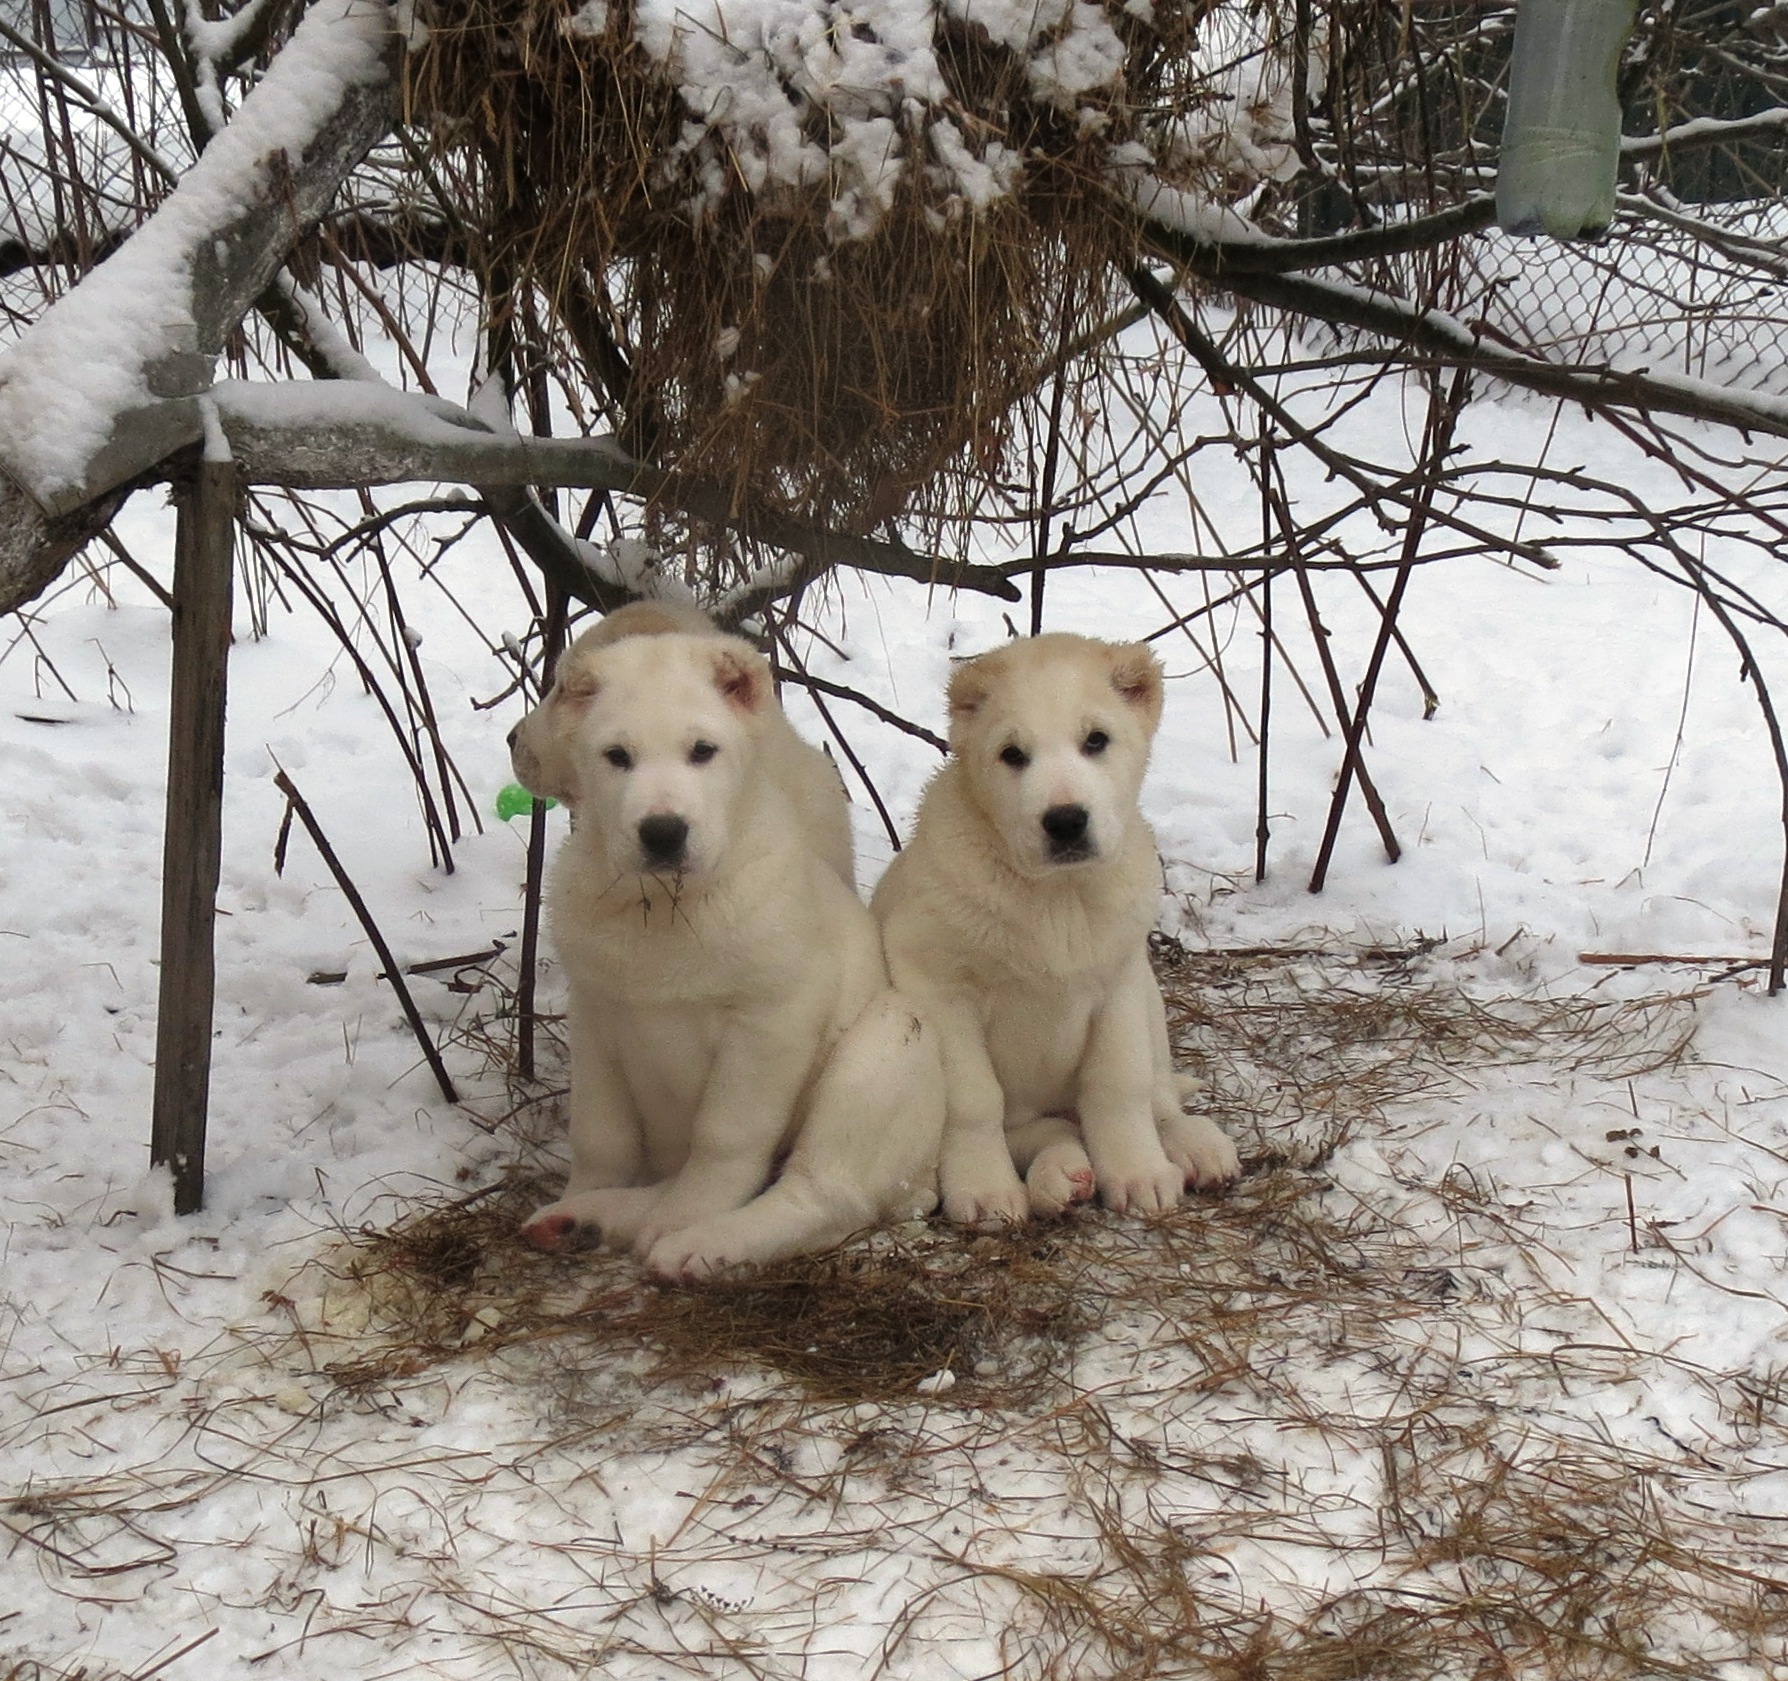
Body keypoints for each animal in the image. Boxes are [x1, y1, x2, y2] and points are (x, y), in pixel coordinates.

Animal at [511, 611, 944, 1280]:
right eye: (617, 757)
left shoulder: (770, 1020)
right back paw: (586, 1217)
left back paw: (698, 1242)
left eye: (702, 752)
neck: (665, 910)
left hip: (887, 1047)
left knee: (820, 1195)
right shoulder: (596, 1013)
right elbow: (601, 1134)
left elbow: (724, 1136)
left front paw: (691, 1217)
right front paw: (586, 1193)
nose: (663, 832)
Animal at [868, 629, 1237, 1223]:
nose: (1065, 821)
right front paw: (985, 1189)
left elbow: (1120, 1084)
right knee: (1047, 1129)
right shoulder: (936, 988)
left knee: (1158, 1093)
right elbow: (973, 1100)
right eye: (1012, 755)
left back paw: (1194, 1147)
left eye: (1096, 741)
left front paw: (1137, 1172)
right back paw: (1060, 1171)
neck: (1056, 900)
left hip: (1149, 998)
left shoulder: (1118, 983)